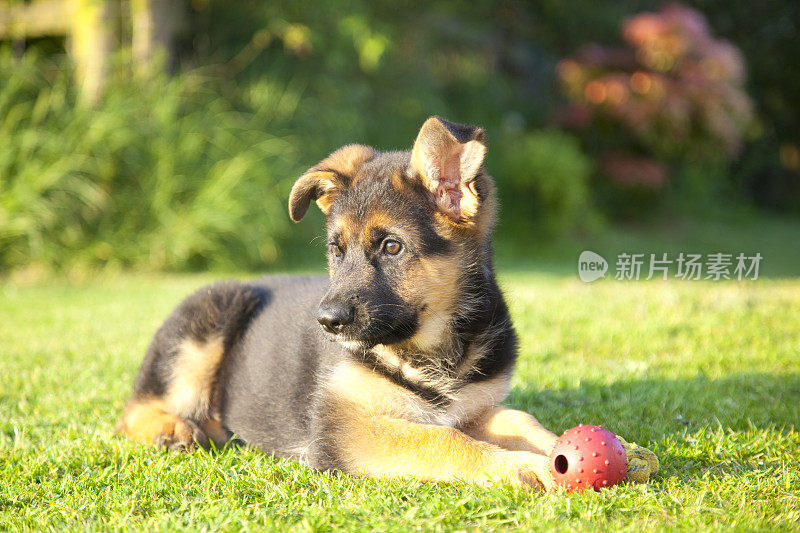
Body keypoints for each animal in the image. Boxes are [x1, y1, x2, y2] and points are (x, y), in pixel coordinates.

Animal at [117, 117, 556, 490]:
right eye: (336, 250)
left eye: (392, 247)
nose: (326, 322)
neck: (432, 348)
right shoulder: (345, 428)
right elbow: (442, 439)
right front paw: (520, 465)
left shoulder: (475, 407)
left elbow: (519, 418)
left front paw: (555, 451)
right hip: (210, 315)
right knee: (131, 411)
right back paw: (172, 429)